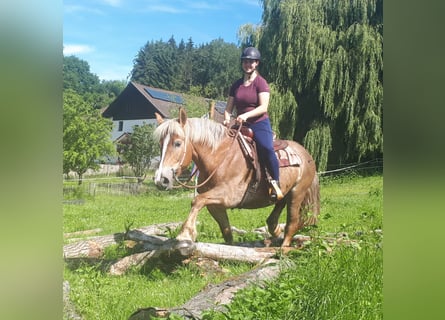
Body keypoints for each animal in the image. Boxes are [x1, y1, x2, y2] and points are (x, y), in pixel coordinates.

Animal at [153, 108, 320, 248]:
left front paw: (185, 235)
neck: (219, 157)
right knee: (273, 220)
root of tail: (306, 154)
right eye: (160, 144)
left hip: (297, 193)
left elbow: (197, 200)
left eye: (177, 143)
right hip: (284, 195)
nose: (161, 179)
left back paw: (283, 249)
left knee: (292, 222)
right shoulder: (215, 205)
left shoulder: (229, 195)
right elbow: (226, 231)